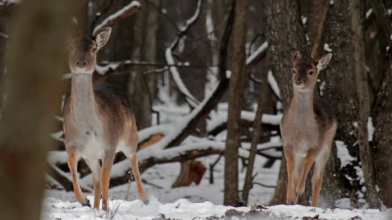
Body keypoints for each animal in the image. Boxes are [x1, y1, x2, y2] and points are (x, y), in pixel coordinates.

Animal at [63, 26, 148, 211]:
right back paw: (94, 206)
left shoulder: (110, 145)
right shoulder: (72, 144)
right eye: (71, 47)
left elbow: (106, 180)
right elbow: (72, 167)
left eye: (94, 48)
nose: (81, 63)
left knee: (134, 160)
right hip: (92, 156)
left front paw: (105, 209)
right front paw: (84, 200)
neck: (87, 128)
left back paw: (144, 197)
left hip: (131, 137)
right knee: (96, 179)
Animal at [280, 51, 336, 206]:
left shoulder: (317, 144)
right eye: (294, 70)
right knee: (298, 172)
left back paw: (313, 206)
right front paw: (290, 195)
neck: (301, 132)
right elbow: (291, 167)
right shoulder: (287, 143)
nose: (298, 81)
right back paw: (293, 200)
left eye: (311, 72)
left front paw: (299, 189)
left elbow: (307, 164)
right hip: (301, 152)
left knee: (317, 179)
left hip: (327, 147)